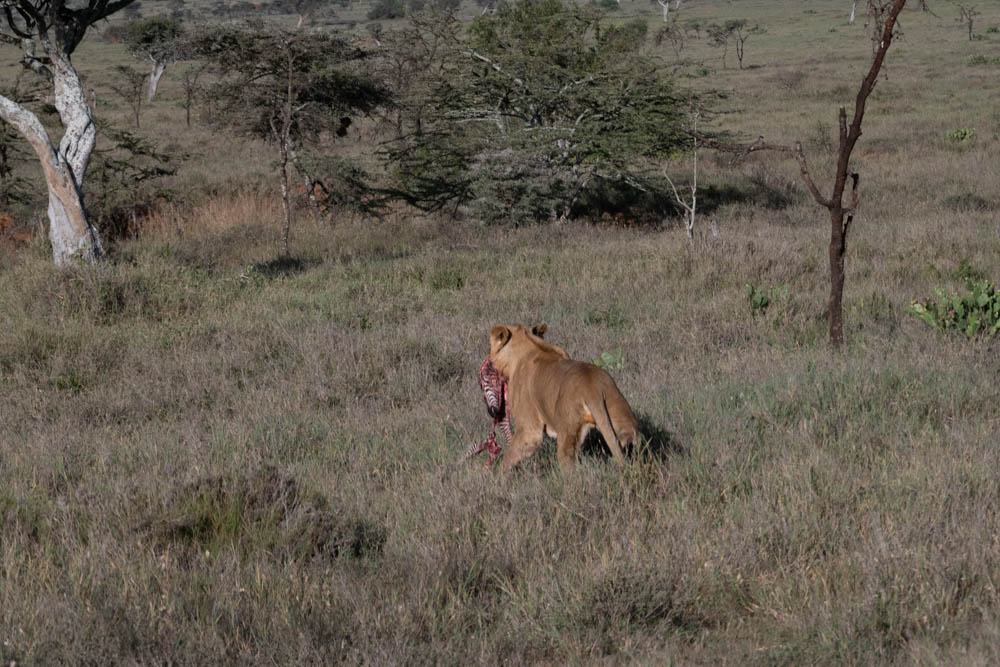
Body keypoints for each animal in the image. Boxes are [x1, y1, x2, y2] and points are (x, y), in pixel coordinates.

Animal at [488, 323, 638, 470]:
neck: (529, 345)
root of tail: (591, 387)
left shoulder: (528, 430)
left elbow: (510, 456)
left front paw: (497, 474)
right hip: (619, 414)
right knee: (630, 440)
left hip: (567, 427)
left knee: (568, 460)